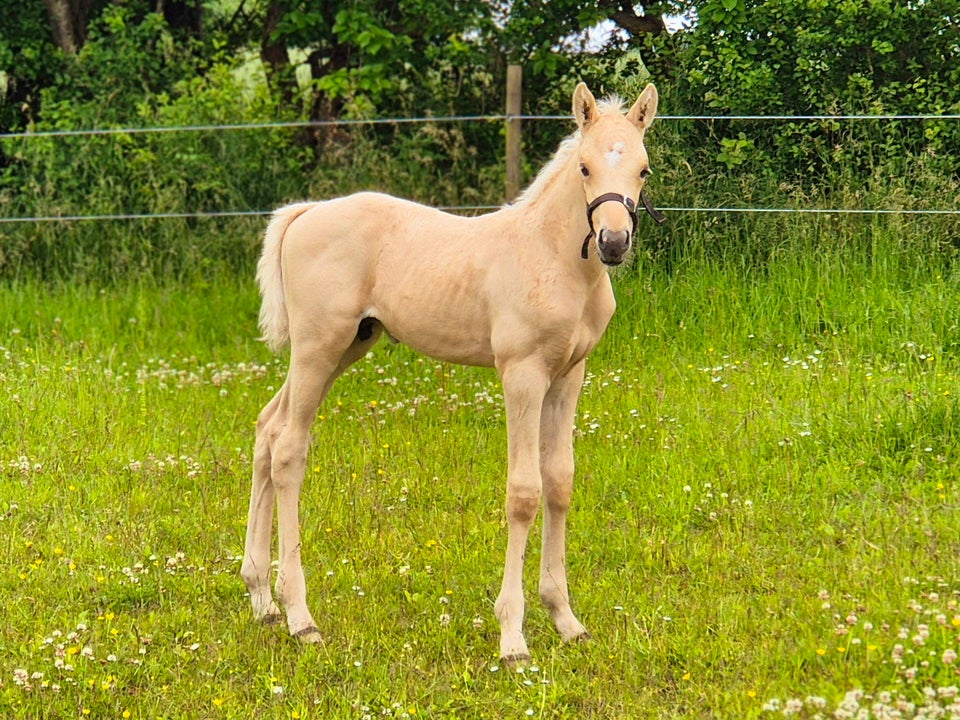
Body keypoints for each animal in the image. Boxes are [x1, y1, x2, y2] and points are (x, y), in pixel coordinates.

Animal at [242, 81, 660, 660]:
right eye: (584, 167)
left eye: (643, 169)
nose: (614, 243)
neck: (551, 257)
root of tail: (305, 213)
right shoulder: (522, 374)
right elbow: (524, 492)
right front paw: (512, 638)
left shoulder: (568, 375)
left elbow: (559, 481)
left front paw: (566, 619)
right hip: (316, 347)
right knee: (288, 449)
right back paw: (299, 616)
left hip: (348, 345)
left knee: (267, 427)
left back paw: (261, 599)